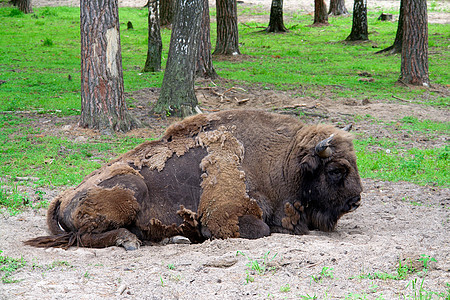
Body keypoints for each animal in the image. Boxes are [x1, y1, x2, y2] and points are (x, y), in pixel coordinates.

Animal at [23, 109, 362, 250]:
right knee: (88, 236)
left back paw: (174, 238)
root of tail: (65, 194)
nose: (356, 200)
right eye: (336, 170)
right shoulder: (224, 218)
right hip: (130, 190)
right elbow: (261, 230)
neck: (282, 162)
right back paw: (130, 241)